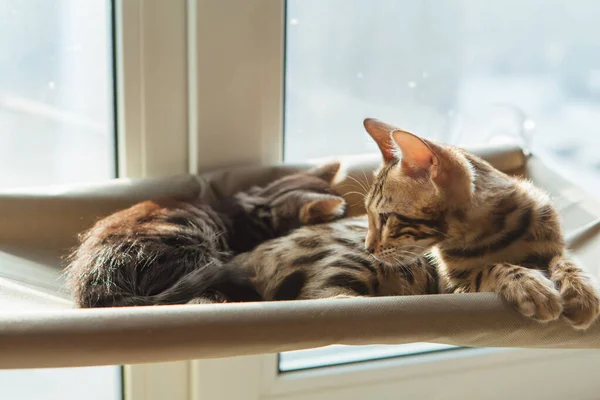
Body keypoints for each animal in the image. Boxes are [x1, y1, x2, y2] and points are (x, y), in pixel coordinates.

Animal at [360, 117, 600, 330]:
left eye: (385, 217)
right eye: (369, 215)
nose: (368, 248)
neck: (494, 234)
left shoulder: (553, 240)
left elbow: (564, 259)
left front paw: (580, 289)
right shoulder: (451, 289)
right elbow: (487, 268)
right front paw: (526, 284)